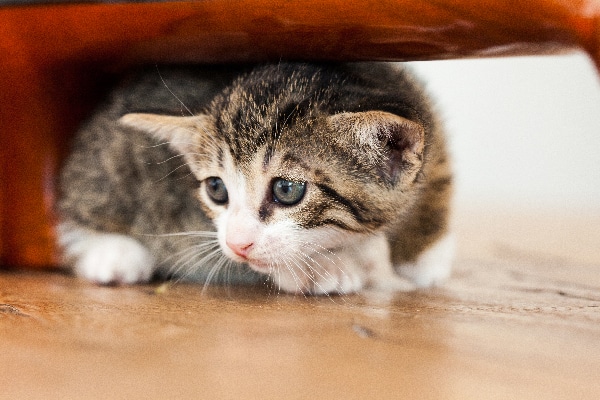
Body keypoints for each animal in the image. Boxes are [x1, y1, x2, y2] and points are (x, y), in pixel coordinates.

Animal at [56, 62, 452, 294]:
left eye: (287, 189)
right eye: (216, 188)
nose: (237, 244)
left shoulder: (425, 114)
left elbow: (438, 175)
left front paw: (424, 256)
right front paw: (321, 267)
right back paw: (114, 254)